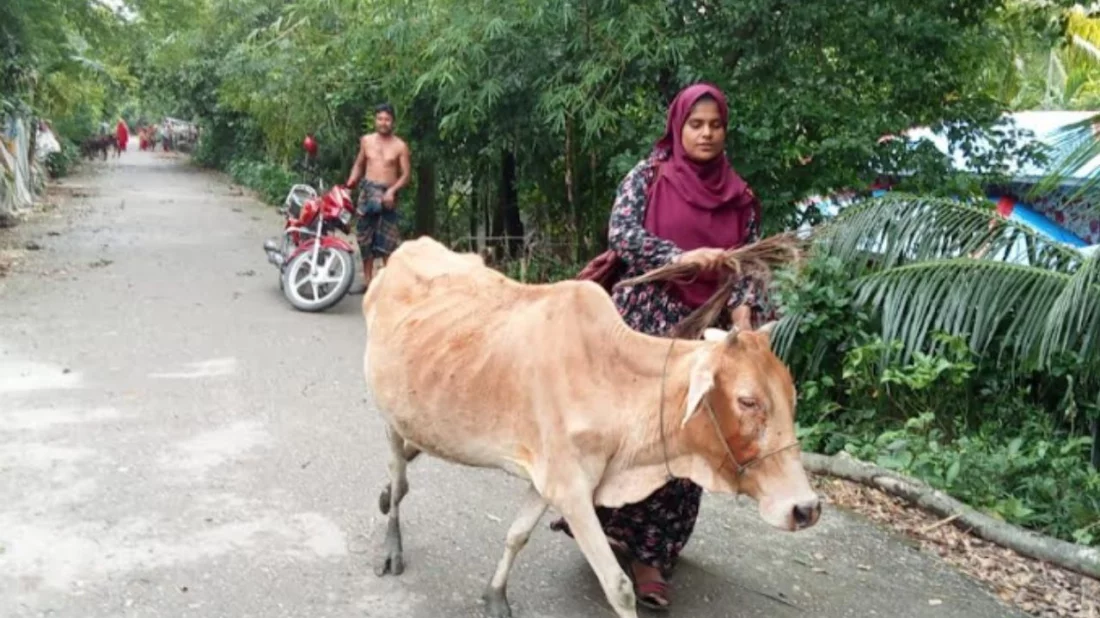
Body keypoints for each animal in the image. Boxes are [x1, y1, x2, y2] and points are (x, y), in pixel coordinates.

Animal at [365, 235, 822, 615]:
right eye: (748, 401)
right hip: (388, 412)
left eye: (792, 399)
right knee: (398, 474)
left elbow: (517, 535)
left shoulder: (547, 481)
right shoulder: (571, 490)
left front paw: (495, 597)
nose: (807, 509)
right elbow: (617, 586)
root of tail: (405, 250)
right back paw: (391, 543)